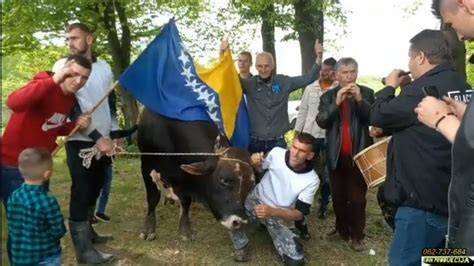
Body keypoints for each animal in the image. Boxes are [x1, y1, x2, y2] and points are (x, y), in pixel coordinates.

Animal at [136, 107, 256, 241]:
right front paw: (148, 229)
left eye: (250, 186)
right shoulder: (147, 166)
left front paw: (185, 230)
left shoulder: (185, 179)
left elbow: (185, 202)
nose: (239, 222)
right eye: (224, 180)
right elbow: (152, 198)